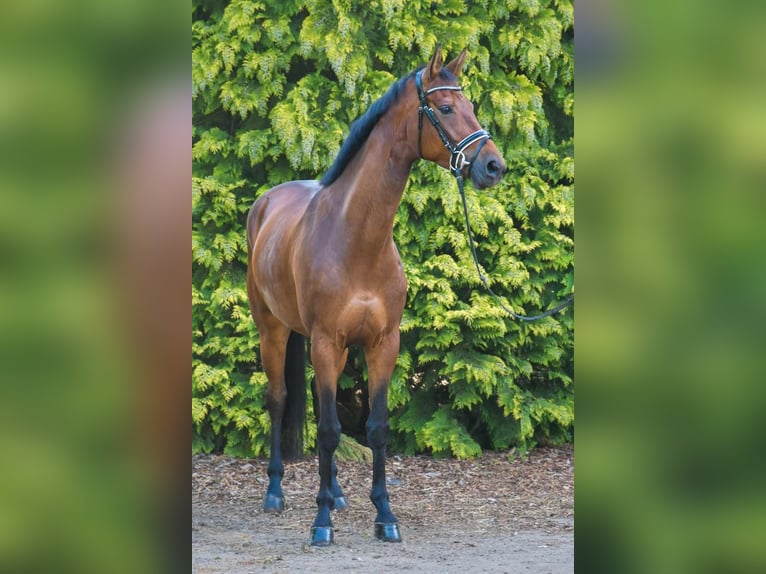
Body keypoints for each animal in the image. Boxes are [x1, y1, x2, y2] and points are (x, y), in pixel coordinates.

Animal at [246, 45, 507, 546]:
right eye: (447, 108)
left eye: (472, 106)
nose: (493, 166)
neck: (356, 239)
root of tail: (265, 203)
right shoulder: (325, 340)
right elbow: (329, 430)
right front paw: (321, 522)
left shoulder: (383, 344)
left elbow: (375, 427)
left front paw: (384, 514)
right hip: (275, 331)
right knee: (280, 399)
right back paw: (274, 493)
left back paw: (337, 493)